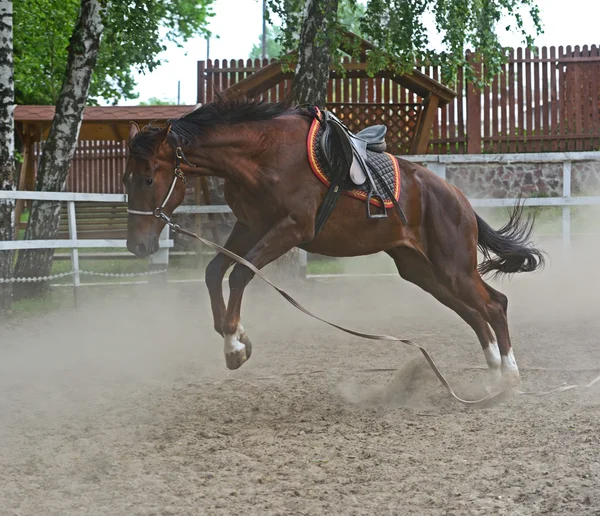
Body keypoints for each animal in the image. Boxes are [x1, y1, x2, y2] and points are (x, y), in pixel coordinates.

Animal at [124, 95, 548, 388]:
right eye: (126, 179)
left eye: (148, 178)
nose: (137, 247)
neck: (264, 154)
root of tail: (458, 198)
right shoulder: (249, 226)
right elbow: (215, 272)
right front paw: (236, 335)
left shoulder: (291, 229)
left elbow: (240, 275)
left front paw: (234, 347)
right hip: (424, 272)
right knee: (473, 313)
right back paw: (493, 371)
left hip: (453, 266)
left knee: (495, 304)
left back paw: (509, 374)